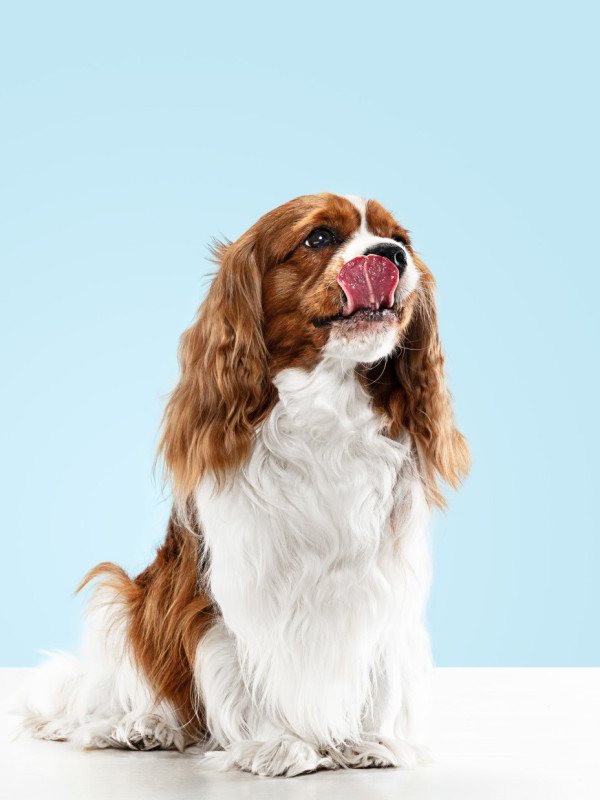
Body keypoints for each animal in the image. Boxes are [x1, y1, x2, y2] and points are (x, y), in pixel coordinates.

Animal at [22, 193, 469, 777]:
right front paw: (279, 742)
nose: (391, 256)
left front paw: (368, 741)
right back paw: (145, 726)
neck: (328, 410)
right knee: (120, 695)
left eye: (401, 240)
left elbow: (379, 673)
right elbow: (255, 666)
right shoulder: (241, 587)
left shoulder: (386, 584)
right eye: (319, 237)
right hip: (125, 598)